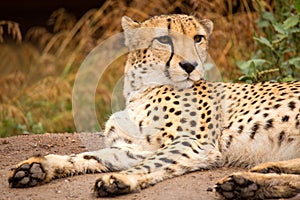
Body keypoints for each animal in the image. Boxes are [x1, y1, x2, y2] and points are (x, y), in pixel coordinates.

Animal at [7, 14, 300, 199]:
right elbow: (88, 157)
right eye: (164, 40)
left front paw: (119, 180)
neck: (140, 89)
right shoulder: (136, 147)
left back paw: (251, 181)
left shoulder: (194, 143)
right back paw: (253, 180)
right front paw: (38, 167)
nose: (190, 65)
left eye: (198, 38)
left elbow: (155, 162)